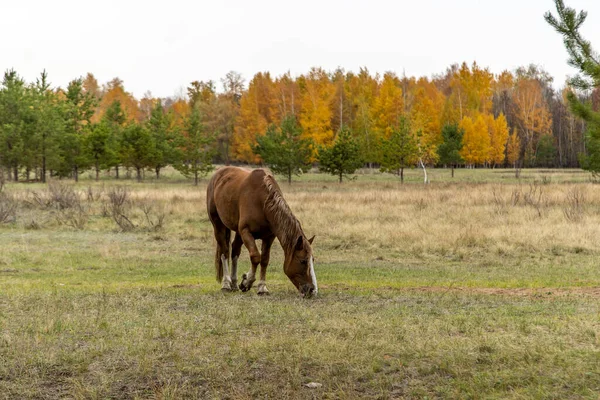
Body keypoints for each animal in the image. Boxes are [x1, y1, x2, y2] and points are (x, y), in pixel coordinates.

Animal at [206, 166, 318, 296]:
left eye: (312, 260)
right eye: (303, 261)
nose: (312, 290)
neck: (262, 202)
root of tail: (218, 174)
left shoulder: (269, 237)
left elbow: (264, 260)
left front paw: (261, 287)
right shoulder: (246, 232)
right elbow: (255, 257)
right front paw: (247, 282)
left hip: (238, 232)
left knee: (235, 250)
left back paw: (234, 283)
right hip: (218, 226)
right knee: (224, 252)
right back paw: (226, 284)